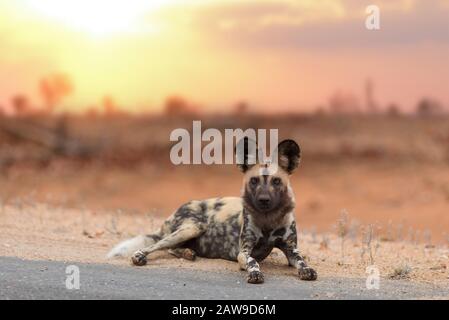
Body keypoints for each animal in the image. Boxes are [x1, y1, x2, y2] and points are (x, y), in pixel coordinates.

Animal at [107, 139, 316, 284]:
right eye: (254, 181)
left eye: (276, 181)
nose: (263, 200)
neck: (269, 219)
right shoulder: (244, 251)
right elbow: (252, 262)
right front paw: (255, 273)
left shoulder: (291, 250)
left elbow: (301, 261)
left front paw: (307, 270)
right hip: (193, 227)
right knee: (155, 246)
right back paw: (141, 256)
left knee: (171, 247)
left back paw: (189, 253)